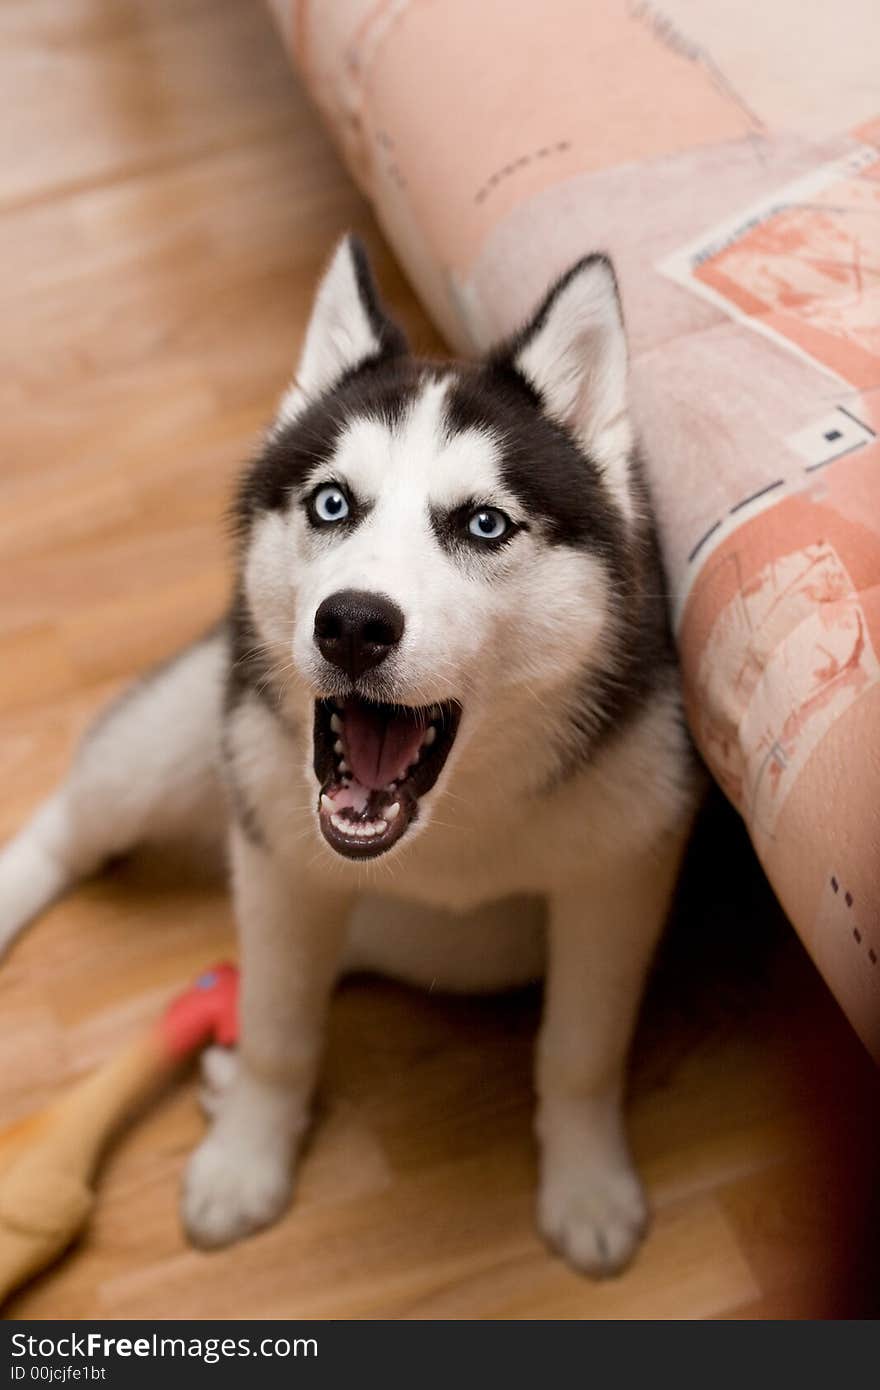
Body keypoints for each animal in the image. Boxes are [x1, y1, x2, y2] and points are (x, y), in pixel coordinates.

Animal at [1, 236, 700, 1273]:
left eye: (483, 524)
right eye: (333, 504)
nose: (354, 625)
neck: (447, 819)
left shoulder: (617, 875)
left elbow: (581, 1051)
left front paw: (586, 1183)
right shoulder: (279, 861)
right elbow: (282, 1031)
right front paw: (246, 1157)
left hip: (483, 942)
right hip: (200, 731)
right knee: (78, 817)